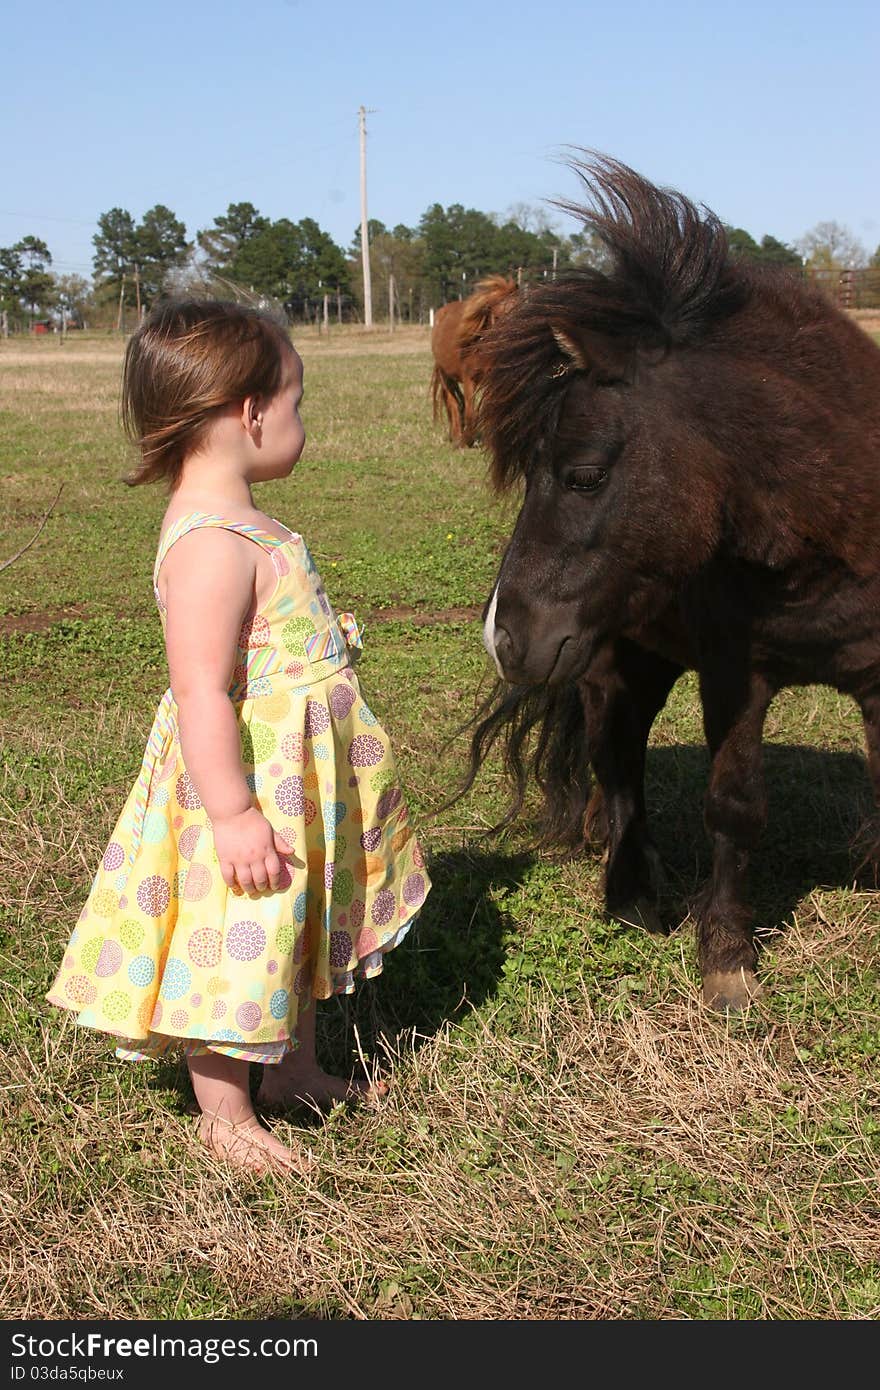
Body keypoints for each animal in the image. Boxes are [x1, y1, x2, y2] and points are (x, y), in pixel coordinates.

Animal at [430, 271, 517, 444]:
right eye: (498, 316)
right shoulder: (469, 379)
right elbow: (471, 414)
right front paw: (466, 440)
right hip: (445, 376)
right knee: (452, 403)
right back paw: (457, 437)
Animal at [467, 154, 878, 1011]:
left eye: (585, 475)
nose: (503, 638)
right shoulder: (735, 678)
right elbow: (735, 807)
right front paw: (726, 955)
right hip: (613, 663)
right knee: (618, 761)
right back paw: (632, 888)